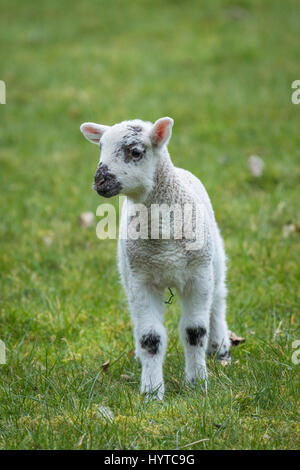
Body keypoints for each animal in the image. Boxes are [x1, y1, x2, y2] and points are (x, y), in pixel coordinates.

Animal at [81, 115, 231, 398]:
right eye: (100, 148)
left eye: (135, 152)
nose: (99, 181)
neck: (164, 244)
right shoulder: (141, 279)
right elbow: (150, 337)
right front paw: (151, 392)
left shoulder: (198, 276)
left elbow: (195, 332)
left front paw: (197, 384)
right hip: (127, 270)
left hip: (213, 258)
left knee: (218, 299)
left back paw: (220, 349)